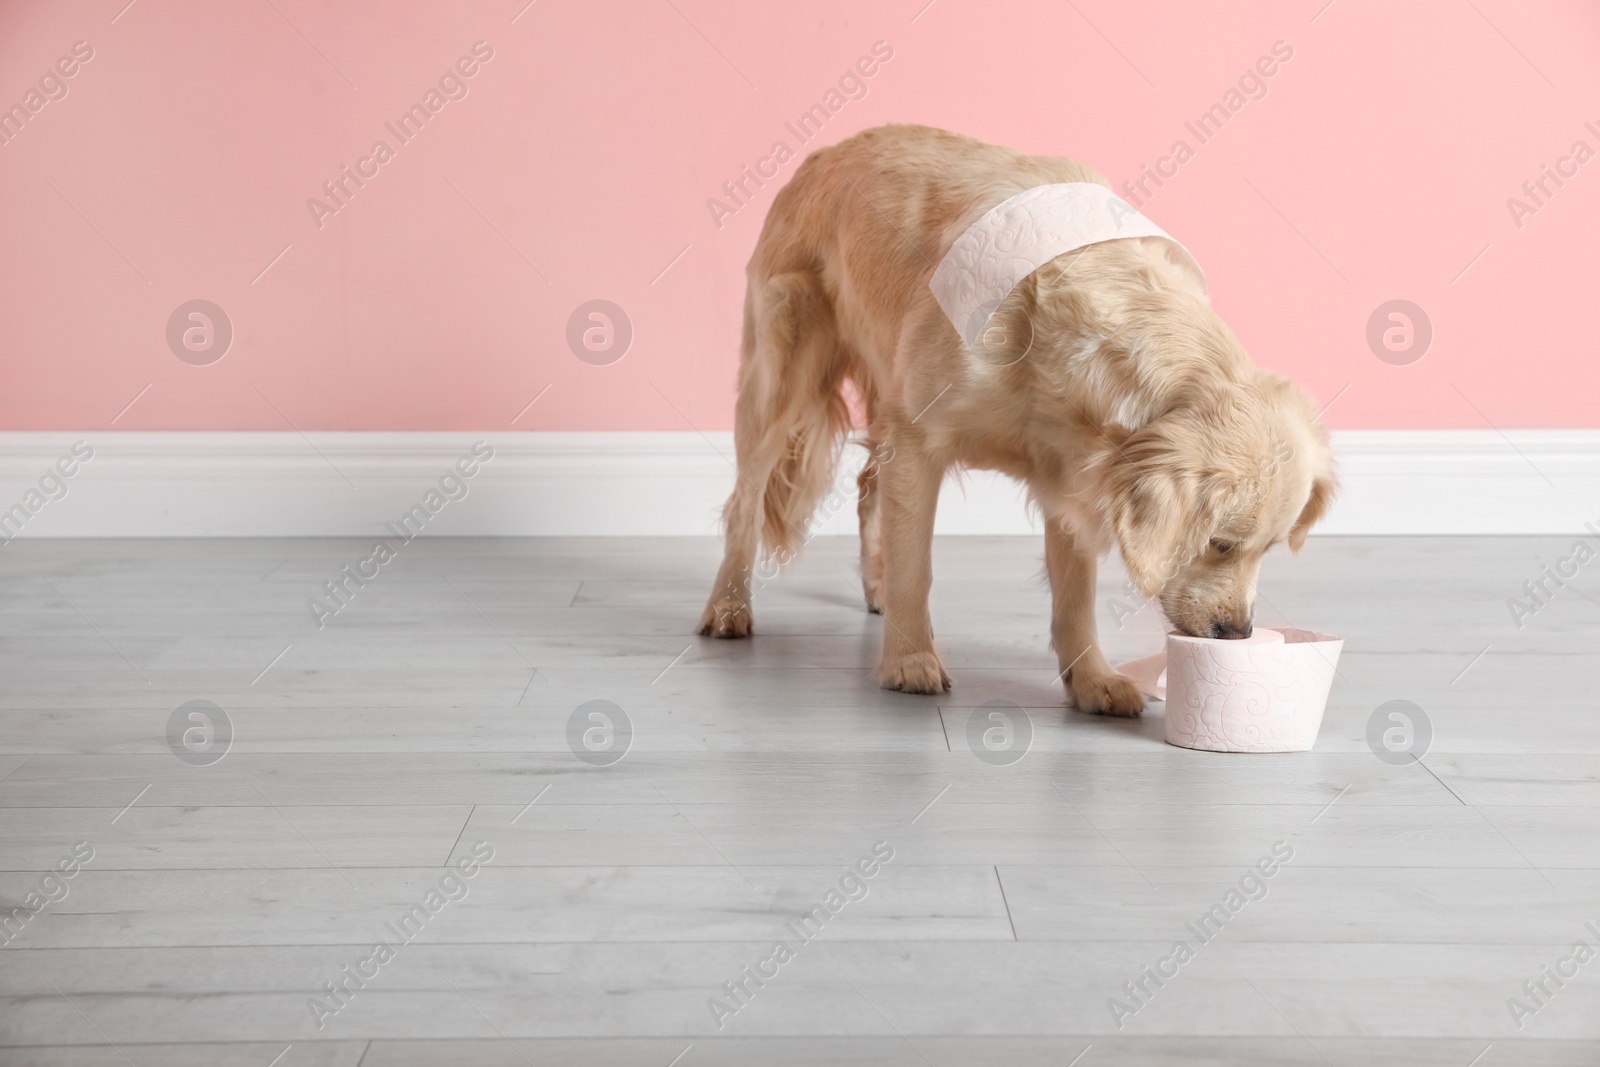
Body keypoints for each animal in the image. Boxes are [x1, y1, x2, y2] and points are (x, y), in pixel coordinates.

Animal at [694, 123, 1331, 716]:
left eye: (1268, 550)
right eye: (1220, 544)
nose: (1237, 633)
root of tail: (829, 150)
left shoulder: (1072, 472)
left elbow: (1074, 596)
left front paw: (1092, 679)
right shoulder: (919, 440)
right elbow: (916, 567)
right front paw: (910, 661)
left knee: (867, 485)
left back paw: (875, 589)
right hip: (781, 376)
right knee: (745, 501)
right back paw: (728, 606)